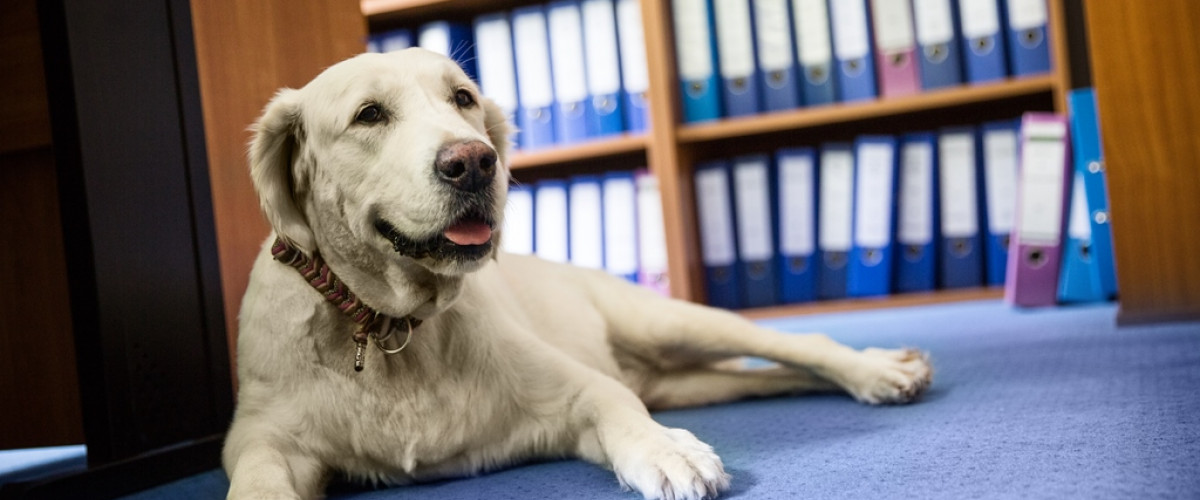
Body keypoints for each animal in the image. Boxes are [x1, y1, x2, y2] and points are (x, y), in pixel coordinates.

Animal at [226, 47, 936, 498]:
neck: (392, 329)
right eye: (369, 114)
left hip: (664, 322)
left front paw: (667, 451)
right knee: (763, 378)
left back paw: (878, 371)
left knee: (797, 344)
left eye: (463, 99)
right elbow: (257, 480)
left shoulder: (575, 393)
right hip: (686, 381)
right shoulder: (259, 441)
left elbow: (617, 407)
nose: (474, 162)